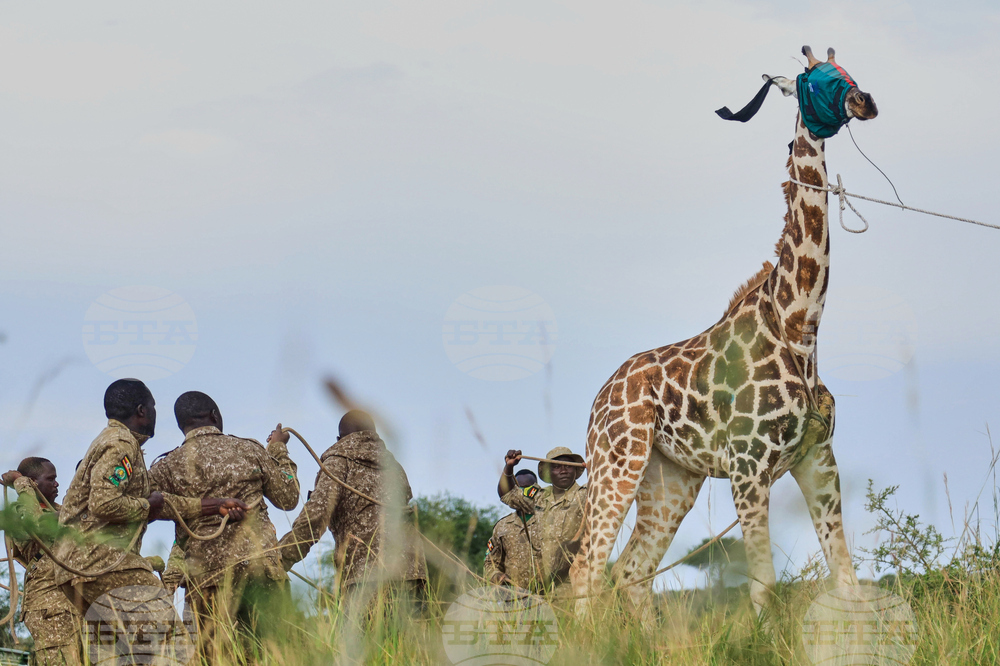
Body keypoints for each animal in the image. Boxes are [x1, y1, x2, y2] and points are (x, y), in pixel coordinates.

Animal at [570, 46, 879, 617]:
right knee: (589, 566)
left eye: (847, 69)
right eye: (814, 77)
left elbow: (846, 581)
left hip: (672, 477)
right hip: (617, 459)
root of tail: (602, 394)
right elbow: (763, 583)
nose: (864, 101)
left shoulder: (819, 461)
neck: (800, 325)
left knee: (633, 571)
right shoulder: (748, 465)